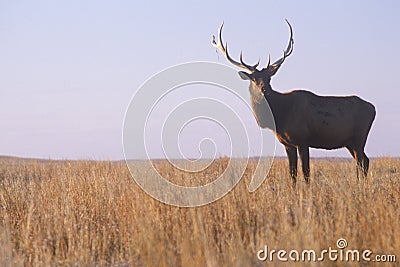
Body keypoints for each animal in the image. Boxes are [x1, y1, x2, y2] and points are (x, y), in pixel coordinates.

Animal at [211, 19, 376, 185]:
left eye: (269, 78)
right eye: (254, 79)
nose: (265, 90)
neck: (279, 117)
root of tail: (373, 108)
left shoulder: (303, 140)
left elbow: (306, 172)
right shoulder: (287, 144)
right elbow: (292, 173)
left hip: (360, 136)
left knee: (361, 161)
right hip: (349, 141)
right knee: (364, 161)